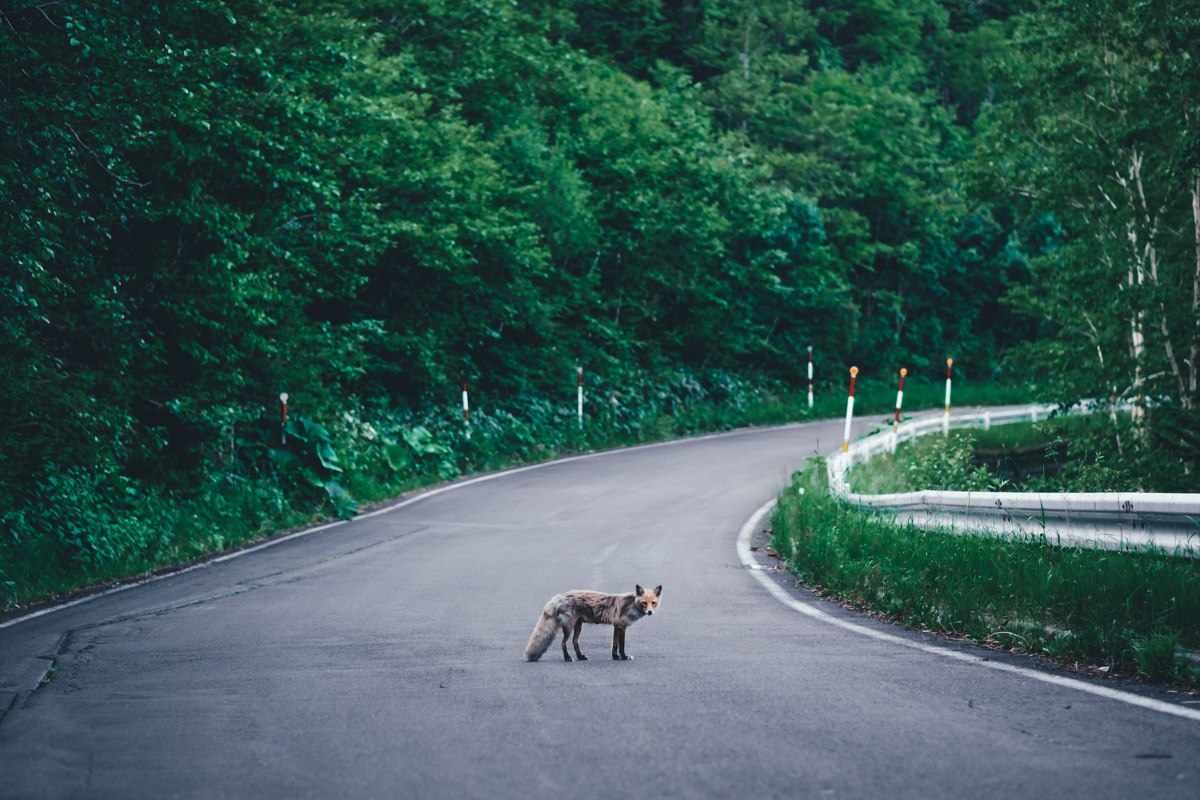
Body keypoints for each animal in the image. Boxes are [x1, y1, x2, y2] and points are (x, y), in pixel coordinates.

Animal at [523, 582, 662, 662]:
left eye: (653, 603)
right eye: (644, 603)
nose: (650, 612)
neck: (632, 605)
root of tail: (559, 596)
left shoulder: (616, 626)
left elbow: (615, 645)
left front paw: (615, 657)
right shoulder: (622, 626)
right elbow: (621, 645)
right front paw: (623, 657)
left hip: (578, 626)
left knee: (575, 641)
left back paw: (580, 657)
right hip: (569, 626)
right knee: (563, 643)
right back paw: (567, 658)